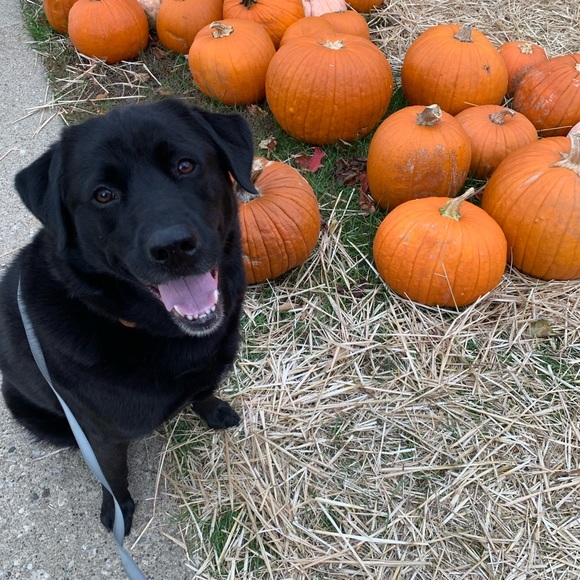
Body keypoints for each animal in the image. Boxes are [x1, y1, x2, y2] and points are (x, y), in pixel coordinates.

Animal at [0, 98, 256, 535]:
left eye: (185, 165)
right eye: (103, 194)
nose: (173, 247)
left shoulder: (206, 372)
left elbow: (203, 392)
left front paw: (214, 410)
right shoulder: (100, 435)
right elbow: (113, 474)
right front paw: (117, 508)